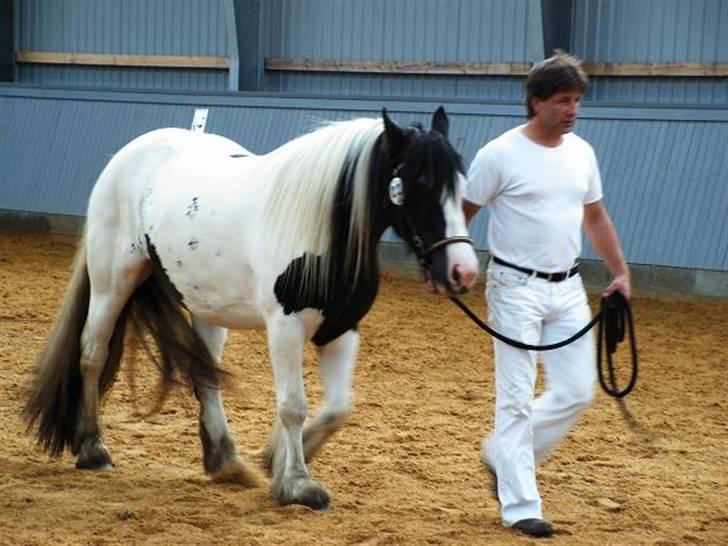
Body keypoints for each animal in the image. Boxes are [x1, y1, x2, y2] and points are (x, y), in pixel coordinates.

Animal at [24, 106, 478, 506]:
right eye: (419, 182)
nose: (463, 270)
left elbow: (337, 408)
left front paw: (278, 459)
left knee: (205, 375)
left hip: (206, 307)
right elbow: (293, 405)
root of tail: (127, 154)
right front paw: (298, 485)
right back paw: (92, 448)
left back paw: (226, 462)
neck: (319, 232)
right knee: (92, 354)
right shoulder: (285, 327)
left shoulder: (341, 329)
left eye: (461, 183)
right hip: (112, 283)